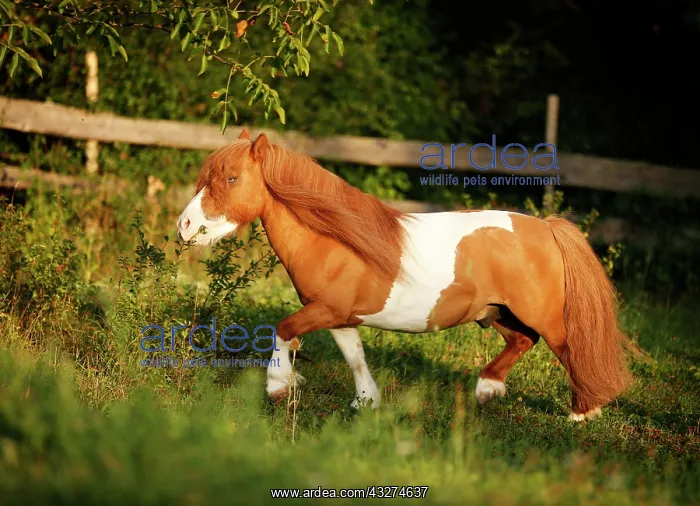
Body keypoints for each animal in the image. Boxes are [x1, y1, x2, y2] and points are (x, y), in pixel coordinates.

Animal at [177, 129, 632, 421]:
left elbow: (282, 330)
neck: (334, 240)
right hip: (497, 312)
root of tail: (546, 228)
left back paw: (582, 413)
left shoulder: (325, 311)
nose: (184, 227)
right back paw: (487, 389)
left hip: (543, 315)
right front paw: (366, 402)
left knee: (571, 350)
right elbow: (354, 355)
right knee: (523, 341)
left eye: (231, 177)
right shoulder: (339, 316)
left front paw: (277, 387)